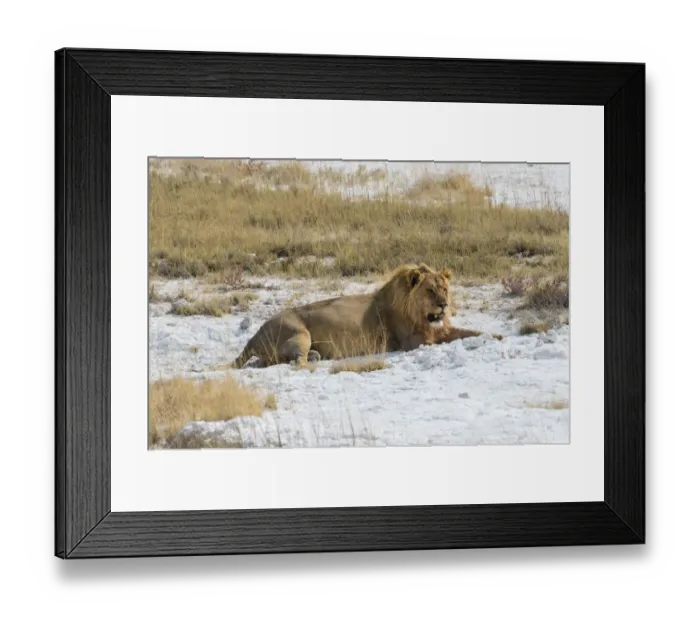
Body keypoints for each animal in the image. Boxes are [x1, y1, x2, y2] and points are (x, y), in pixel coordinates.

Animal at [233, 263, 502, 369]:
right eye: (430, 291)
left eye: (444, 289)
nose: (444, 306)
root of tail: (254, 336)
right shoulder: (415, 342)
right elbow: (449, 339)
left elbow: (469, 332)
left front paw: (497, 336)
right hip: (299, 333)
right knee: (297, 364)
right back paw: (316, 363)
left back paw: (317, 356)